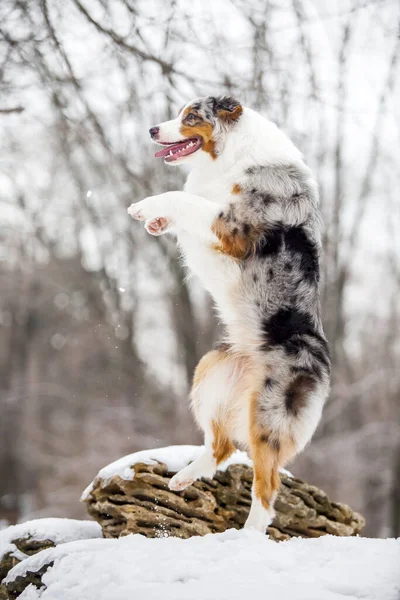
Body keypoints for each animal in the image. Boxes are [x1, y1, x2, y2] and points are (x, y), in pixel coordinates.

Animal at [129, 96, 332, 532]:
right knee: (220, 448)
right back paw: (185, 477)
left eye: (191, 117)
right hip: (209, 371)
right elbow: (186, 203)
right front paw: (157, 221)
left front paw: (145, 207)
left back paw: (249, 534)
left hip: (269, 416)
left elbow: (184, 198)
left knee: (267, 485)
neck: (229, 155)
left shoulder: (233, 224)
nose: (152, 129)